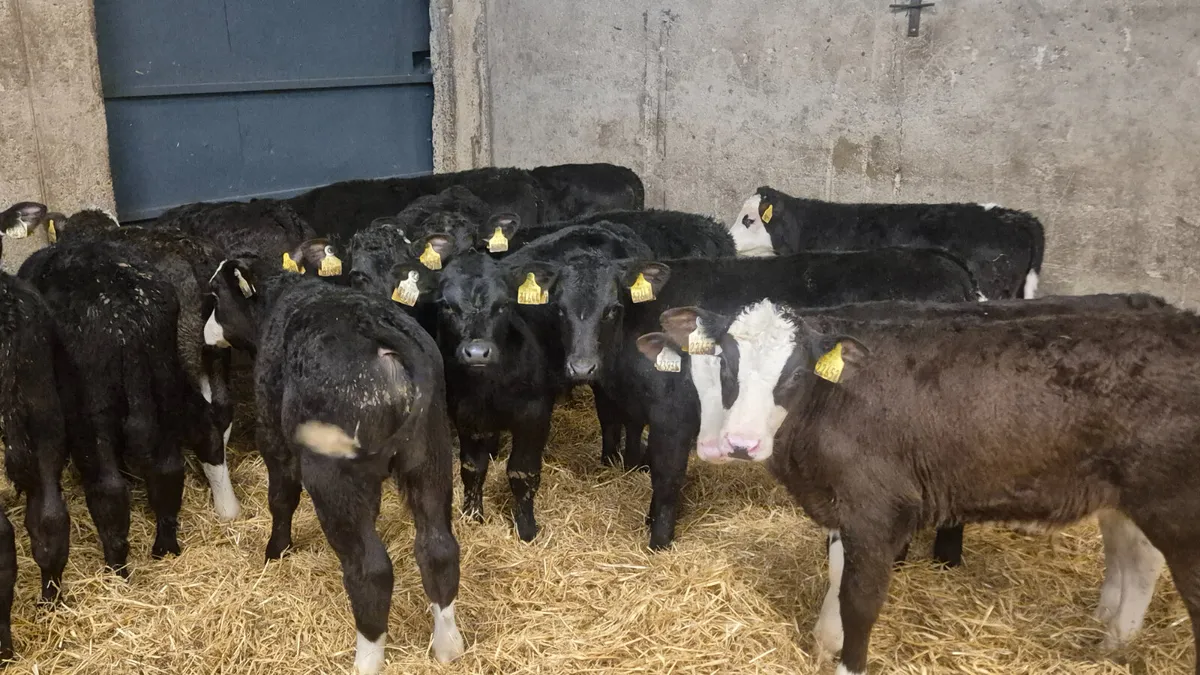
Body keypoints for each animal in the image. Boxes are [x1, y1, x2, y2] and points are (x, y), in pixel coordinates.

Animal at [203, 257, 464, 674]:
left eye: (215, 296)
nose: (206, 333)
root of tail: (384, 336)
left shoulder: (273, 435)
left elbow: (281, 497)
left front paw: (275, 551)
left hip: (332, 475)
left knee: (372, 570)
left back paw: (366, 661)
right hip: (431, 456)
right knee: (438, 549)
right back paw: (448, 646)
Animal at [654, 298, 1200, 675]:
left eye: (793, 374)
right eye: (726, 366)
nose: (738, 444)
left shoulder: (878, 507)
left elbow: (859, 599)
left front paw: (846, 660)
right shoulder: (847, 505)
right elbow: (836, 572)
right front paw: (824, 641)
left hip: (1174, 508)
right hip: (1123, 497)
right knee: (1132, 553)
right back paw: (1111, 638)